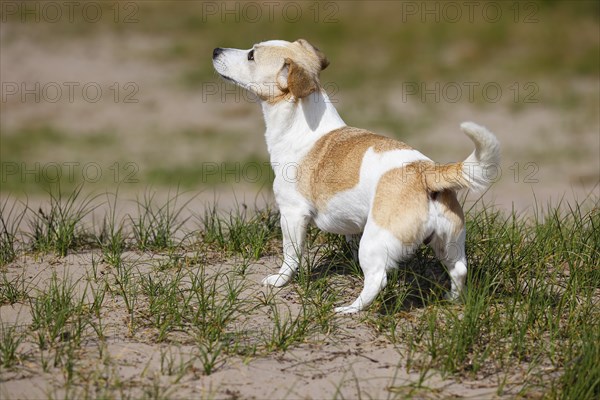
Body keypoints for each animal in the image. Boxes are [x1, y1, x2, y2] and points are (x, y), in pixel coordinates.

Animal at [213, 39, 500, 312]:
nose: (216, 50)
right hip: (448, 243)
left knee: (377, 280)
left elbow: (291, 255)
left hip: (375, 242)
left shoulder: (292, 215)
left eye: (251, 55)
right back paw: (452, 299)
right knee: (459, 270)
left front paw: (279, 280)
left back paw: (350, 309)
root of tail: (425, 172)